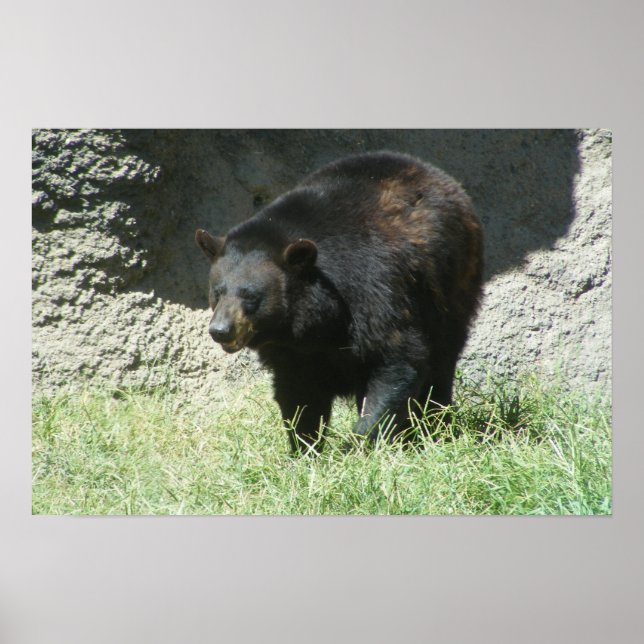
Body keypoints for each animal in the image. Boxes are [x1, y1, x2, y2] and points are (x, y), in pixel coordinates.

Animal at [195, 151, 483, 454]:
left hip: (452, 285)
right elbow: (298, 393)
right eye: (217, 292)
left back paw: (435, 424)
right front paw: (304, 448)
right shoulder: (292, 350)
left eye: (250, 295)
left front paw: (361, 442)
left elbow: (397, 358)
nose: (220, 330)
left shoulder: (375, 289)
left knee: (442, 358)